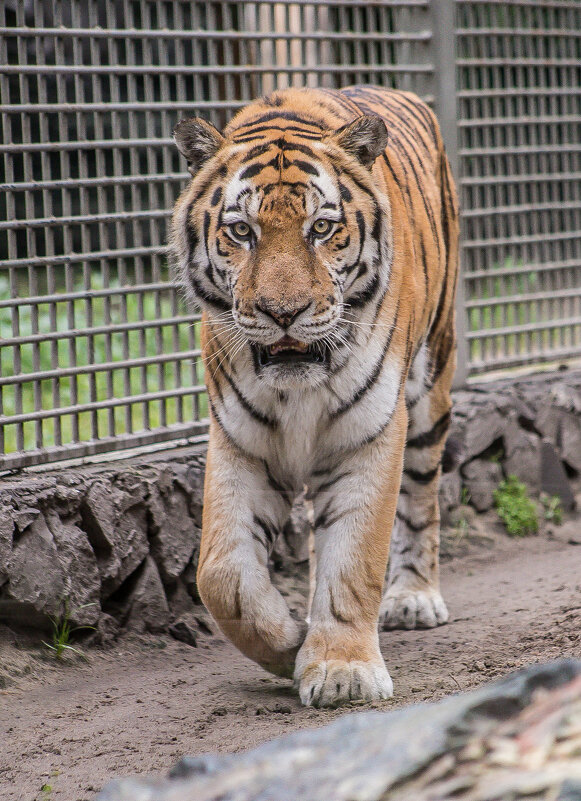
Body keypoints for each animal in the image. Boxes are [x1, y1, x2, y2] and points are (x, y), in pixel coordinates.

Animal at [170, 83, 460, 708]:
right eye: (242, 231)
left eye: (322, 229)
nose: (284, 313)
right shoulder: (240, 442)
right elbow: (221, 574)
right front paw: (289, 644)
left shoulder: (368, 434)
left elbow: (354, 559)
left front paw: (342, 670)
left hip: (431, 387)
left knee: (422, 499)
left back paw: (414, 598)